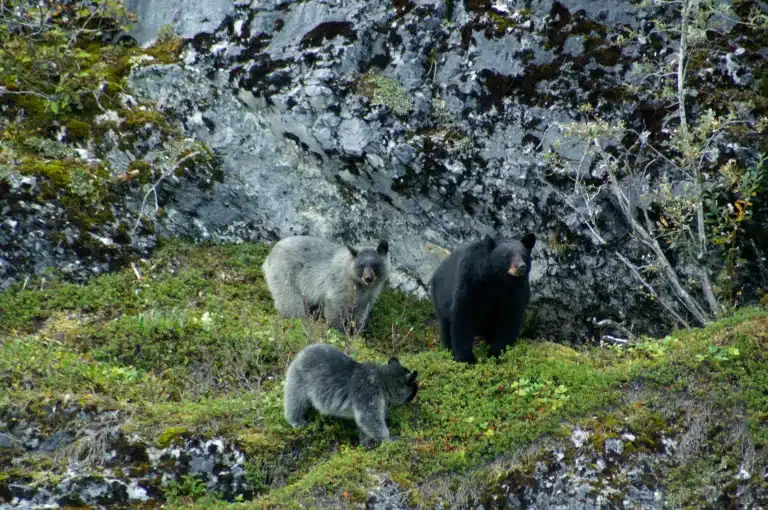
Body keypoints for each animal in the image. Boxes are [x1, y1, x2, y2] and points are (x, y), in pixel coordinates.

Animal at [261, 236, 390, 335]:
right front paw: (338, 330)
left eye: (375, 265)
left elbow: (361, 312)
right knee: (289, 299)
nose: (368, 278)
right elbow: (335, 304)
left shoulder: (369, 295)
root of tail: (271, 253)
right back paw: (298, 319)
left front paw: (356, 332)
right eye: (361, 265)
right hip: (285, 273)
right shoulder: (341, 283)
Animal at [283, 343, 419, 448]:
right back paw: (297, 420)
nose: (413, 398)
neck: (383, 379)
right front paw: (390, 439)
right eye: (415, 388)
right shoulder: (368, 394)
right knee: (295, 401)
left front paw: (365, 442)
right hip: (298, 380)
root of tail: (301, 353)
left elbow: (364, 423)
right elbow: (369, 418)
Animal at [429, 233, 536, 364]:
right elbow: (463, 314)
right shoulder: (470, 281)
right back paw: (447, 350)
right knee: (445, 325)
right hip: (439, 297)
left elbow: (510, 319)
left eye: (524, 255)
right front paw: (466, 358)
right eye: (507, 255)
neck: (499, 281)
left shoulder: (517, 291)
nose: (521, 267)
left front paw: (497, 353)